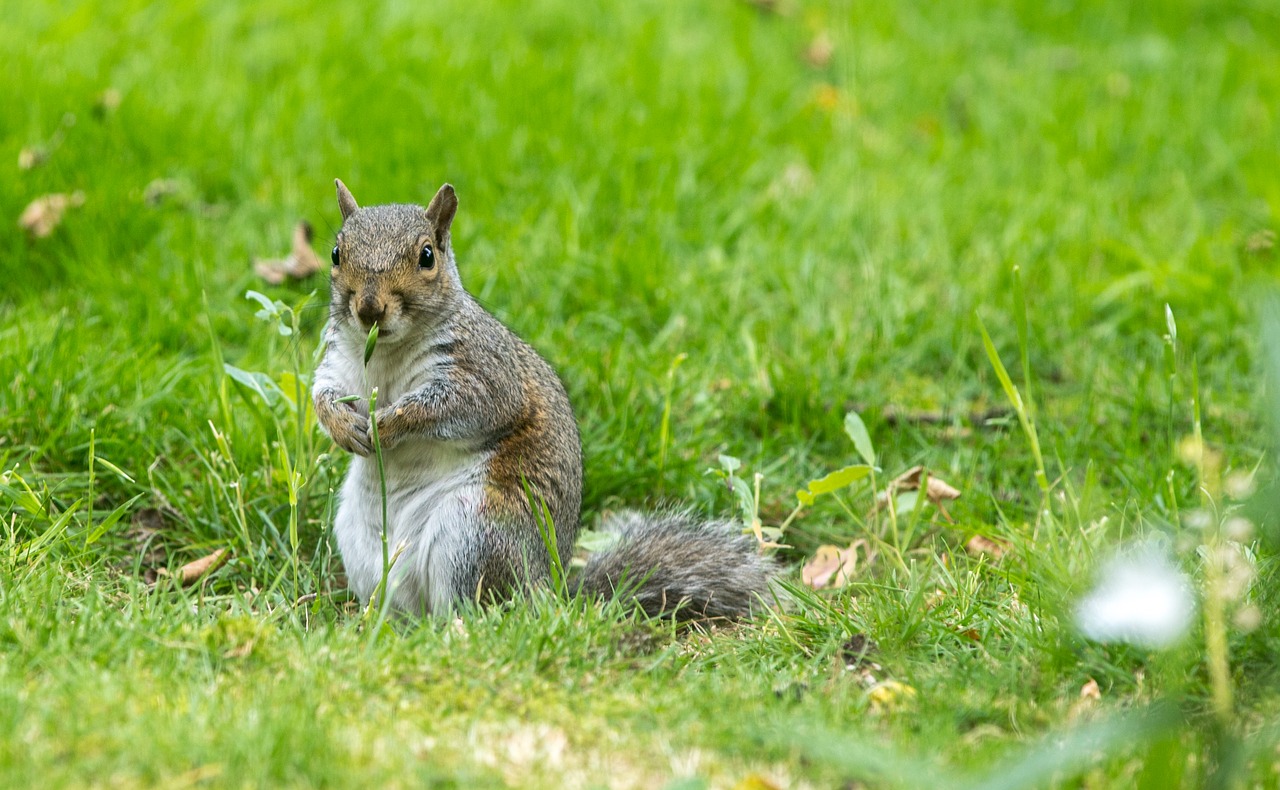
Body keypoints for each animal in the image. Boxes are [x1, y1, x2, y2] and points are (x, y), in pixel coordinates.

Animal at [314, 181, 773, 619]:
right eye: (336, 253)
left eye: (427, 256)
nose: (369, 308)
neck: (385, 353)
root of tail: (549, 591)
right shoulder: (339, 361)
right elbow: (322, 394)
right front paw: (342, 425)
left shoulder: (485, 372)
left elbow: (451, 406)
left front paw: (387, 423)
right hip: (359, 540)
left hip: (475, 533)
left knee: (479, 609)